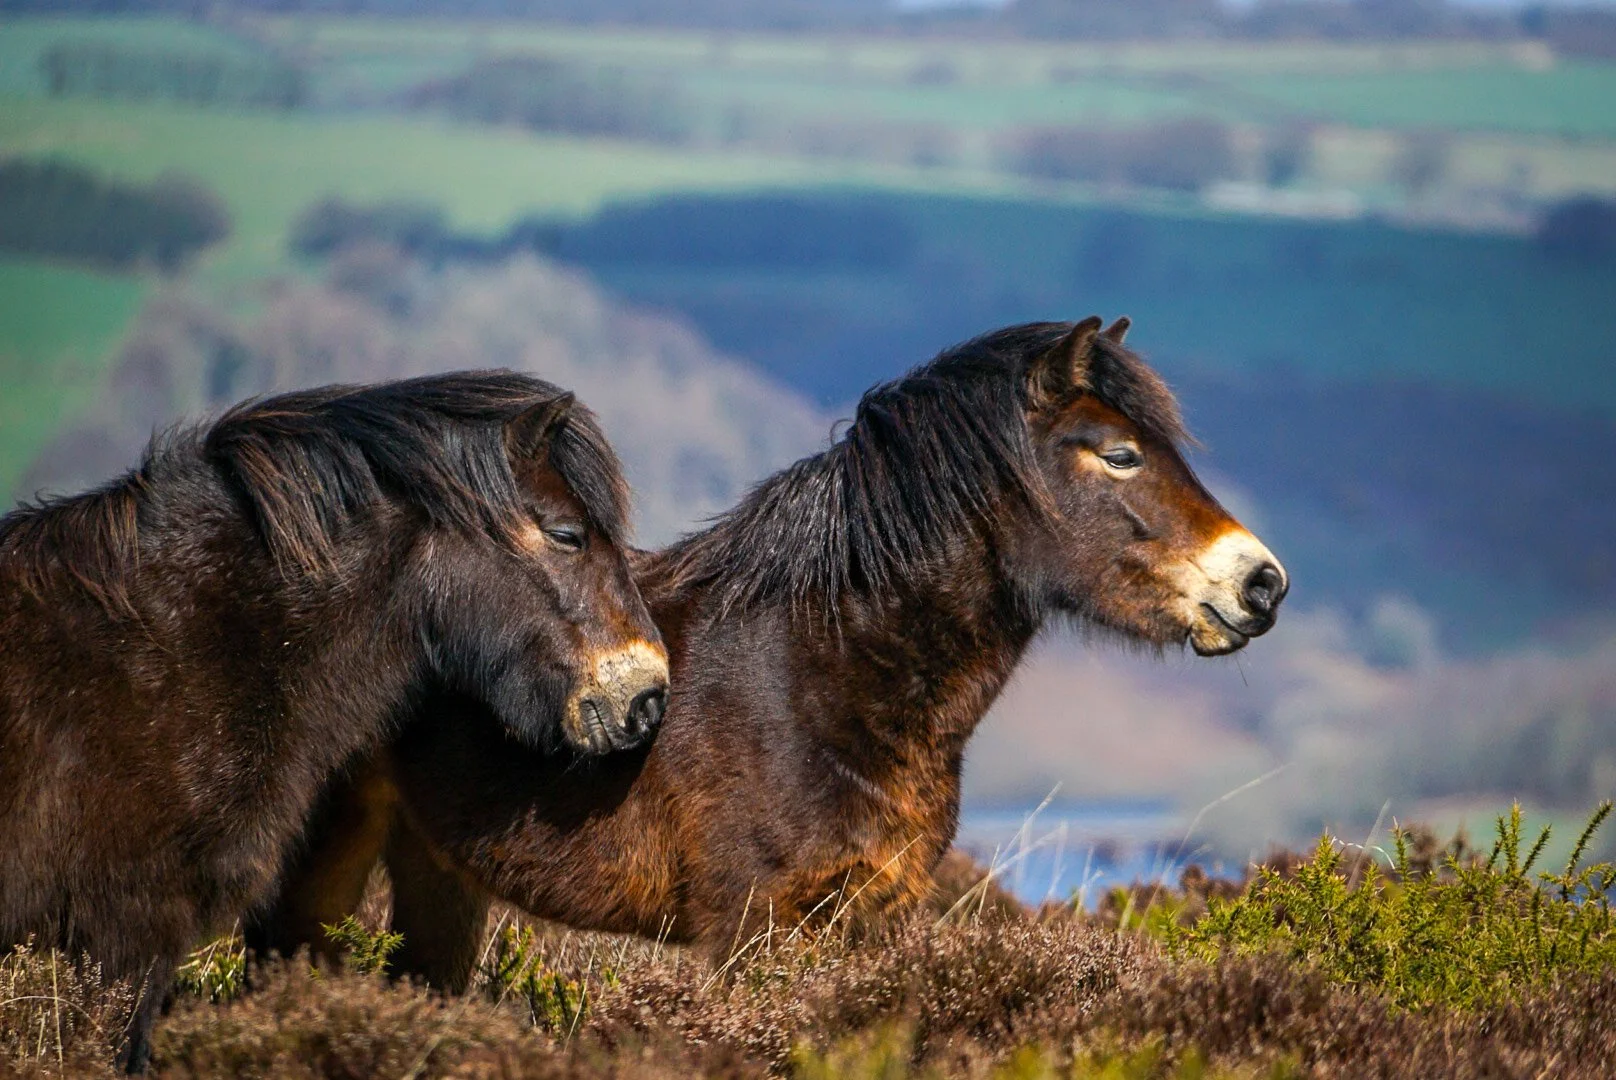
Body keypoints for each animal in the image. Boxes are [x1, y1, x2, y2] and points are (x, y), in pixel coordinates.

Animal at [260, 318, 1288, 990]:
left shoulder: (871, 922)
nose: (1261, 583)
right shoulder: (752, 929)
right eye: (1117, 453)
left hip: (437, 871)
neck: (814, 677)